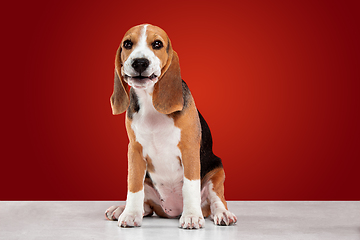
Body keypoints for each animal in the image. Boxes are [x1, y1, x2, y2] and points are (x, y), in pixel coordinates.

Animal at [105, 23, 238, 229]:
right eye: (127, 44)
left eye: (157, 44)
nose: (140, 63)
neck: (150, 102)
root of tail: (173, 211)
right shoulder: (134, 150)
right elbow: (133, 185)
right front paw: (130, 214)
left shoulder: (189, 149)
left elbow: (190, 185)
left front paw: (191, 216)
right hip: (149, 185)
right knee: (146, 205)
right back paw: (121, 209)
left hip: (217, 173)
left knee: (216, 201)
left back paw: (222, 213)